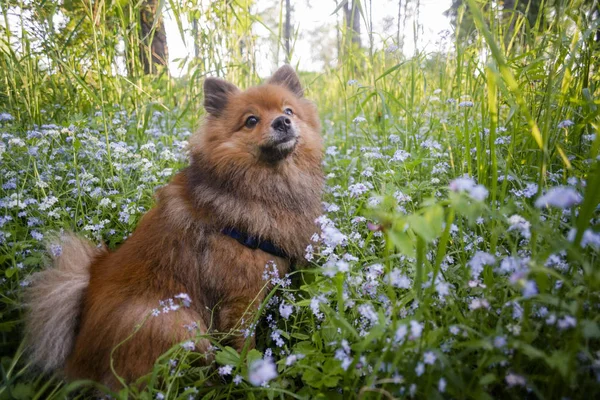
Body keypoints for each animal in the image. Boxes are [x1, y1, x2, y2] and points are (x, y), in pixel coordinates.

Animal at [24, 66, 324, 390]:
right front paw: (253, 376)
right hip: (176, 321)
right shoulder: (241, 298)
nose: (283, 122)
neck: (264, 184)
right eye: (251, 120)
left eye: (288, 110)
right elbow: (245, 346)